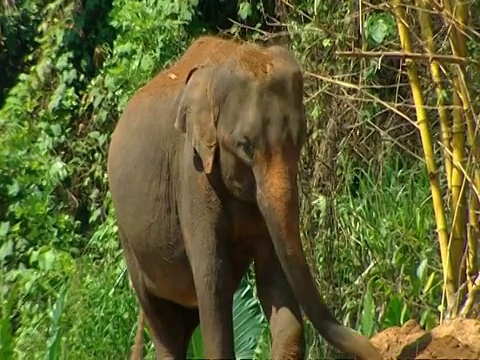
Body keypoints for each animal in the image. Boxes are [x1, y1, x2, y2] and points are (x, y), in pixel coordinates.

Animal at [107, 35, 380, 360]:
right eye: (245, 146)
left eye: (300, 137)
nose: (375, 350)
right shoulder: (191, 175)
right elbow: (213, 282)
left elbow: (274, 274)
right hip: (131, 244)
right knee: (164, 326)